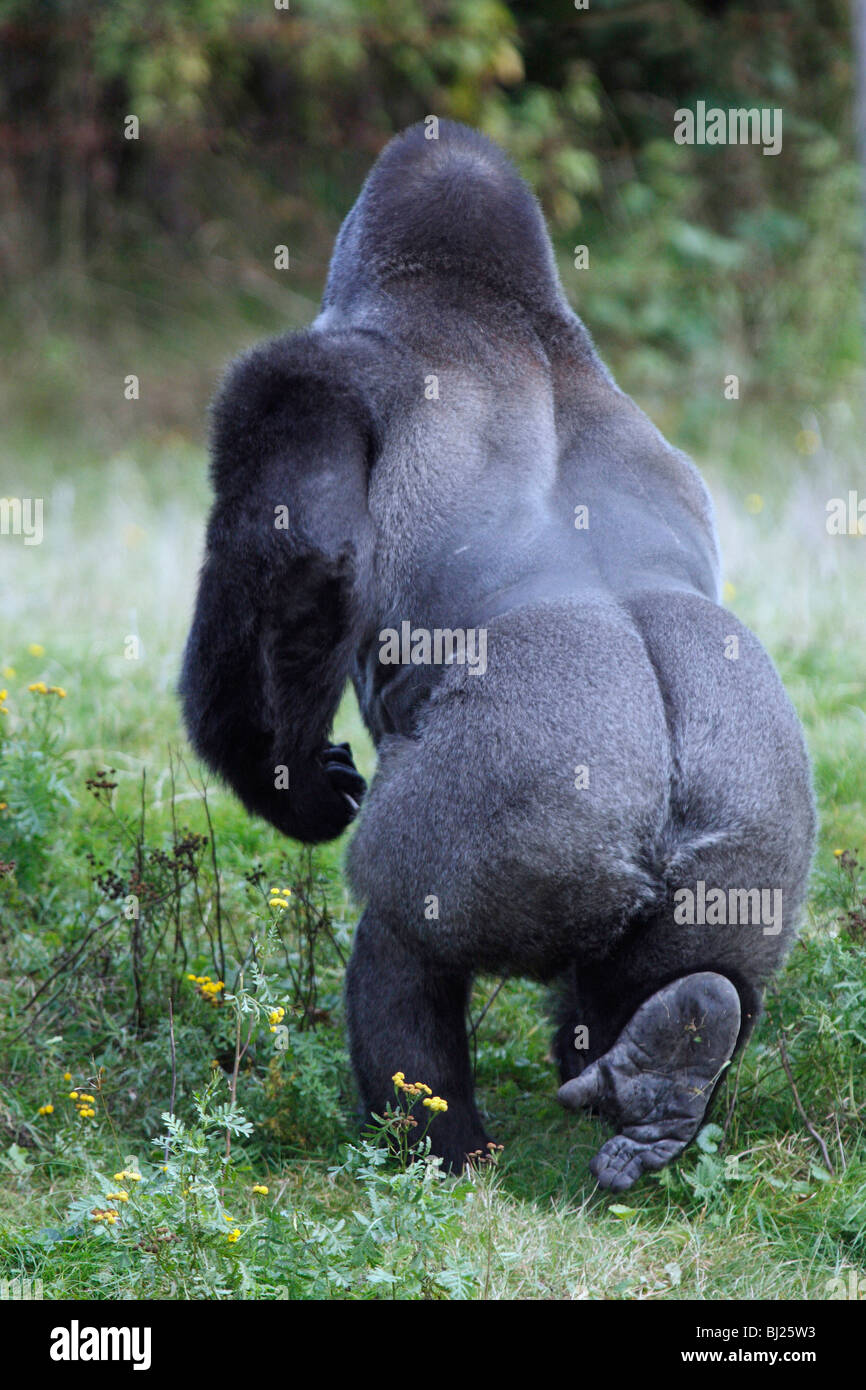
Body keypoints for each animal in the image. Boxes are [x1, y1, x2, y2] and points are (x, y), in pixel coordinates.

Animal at [179, 119, 817, 1189]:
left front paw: (289, 787)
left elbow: (305, 565)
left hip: (530, 819)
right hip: (751, 836)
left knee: (403, 944)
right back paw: (672, 1069)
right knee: (690, 975)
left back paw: (438, 1155)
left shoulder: (300, 376)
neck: (500, 314)